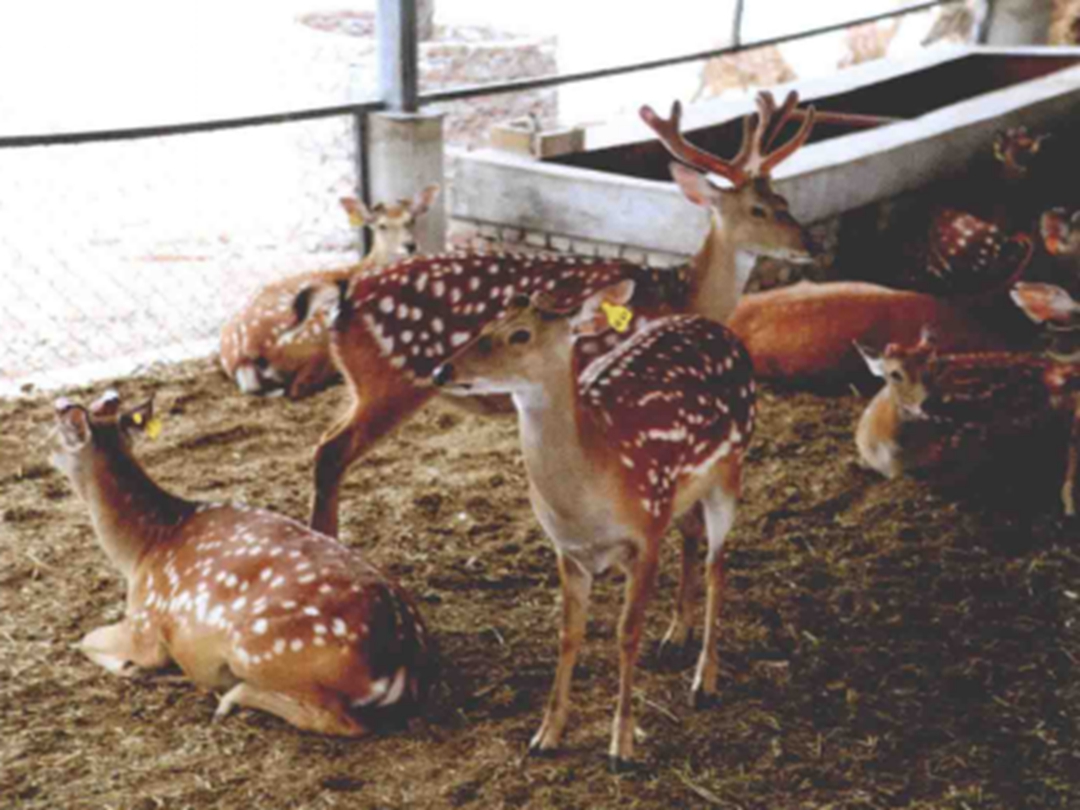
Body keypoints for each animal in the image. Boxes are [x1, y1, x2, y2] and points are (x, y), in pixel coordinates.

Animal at [50, 389, 433, 735]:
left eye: (55, 431)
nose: (45, 453)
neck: (142, 550)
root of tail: (401, 660)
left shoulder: (145, 626)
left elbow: (85, 639)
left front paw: (130, 667)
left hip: (259, 648)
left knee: (337, 720)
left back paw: (231, 696)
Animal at [220, 185, 439, 399]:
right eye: (382, 225)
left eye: (411, 220)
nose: (410, 245)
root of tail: (243, 355)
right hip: (312, 332)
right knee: (298, 387)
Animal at [306, 90, 816, 537]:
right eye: (759, 209)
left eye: (785, 201)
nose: (807, 244)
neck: (684, 296)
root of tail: (345, 295)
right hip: (392, 380)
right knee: (330, 451)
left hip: (362, 384)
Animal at [431, 281, 755, 769]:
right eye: (486, 324)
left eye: (520, 334)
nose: (441, 369)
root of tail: (722, 328)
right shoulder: (568, 550)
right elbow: (569, 634)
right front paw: (546, 733)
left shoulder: (645, 536)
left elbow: (626, 634)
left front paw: (621, 744)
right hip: (680, 494)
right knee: (692, 535)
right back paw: (676, 635)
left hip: (729, 470)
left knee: (719, 565)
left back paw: (705, 681)